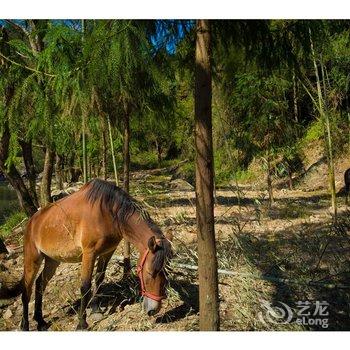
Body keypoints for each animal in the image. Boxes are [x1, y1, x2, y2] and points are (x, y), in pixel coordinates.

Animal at [0, 179, 171, 330]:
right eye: (149, 273)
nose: (153, 309)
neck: (108, 212)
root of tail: (31, 222)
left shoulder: (107, 252)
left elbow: (99, 279)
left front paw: (95, 309)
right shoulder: (89, 253)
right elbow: (85, 286)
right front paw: (82, 323)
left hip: (52, 260)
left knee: (40, 283)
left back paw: (40, 321)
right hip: (32, 259)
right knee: (26, 291)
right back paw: (25, 325)